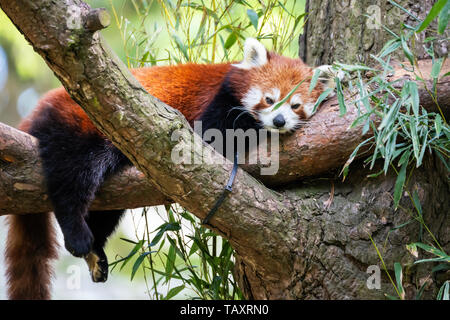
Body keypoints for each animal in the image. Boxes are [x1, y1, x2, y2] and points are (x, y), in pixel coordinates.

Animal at [5, 38, 328, 300]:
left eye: (295, 105)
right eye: (269, 99)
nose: (278, 121)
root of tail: (39, 108)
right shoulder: (216, 104)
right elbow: (214, 135)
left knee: (105, 209)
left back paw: (96, 251)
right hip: (82, 128)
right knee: (71, 179)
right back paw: (77, 236)